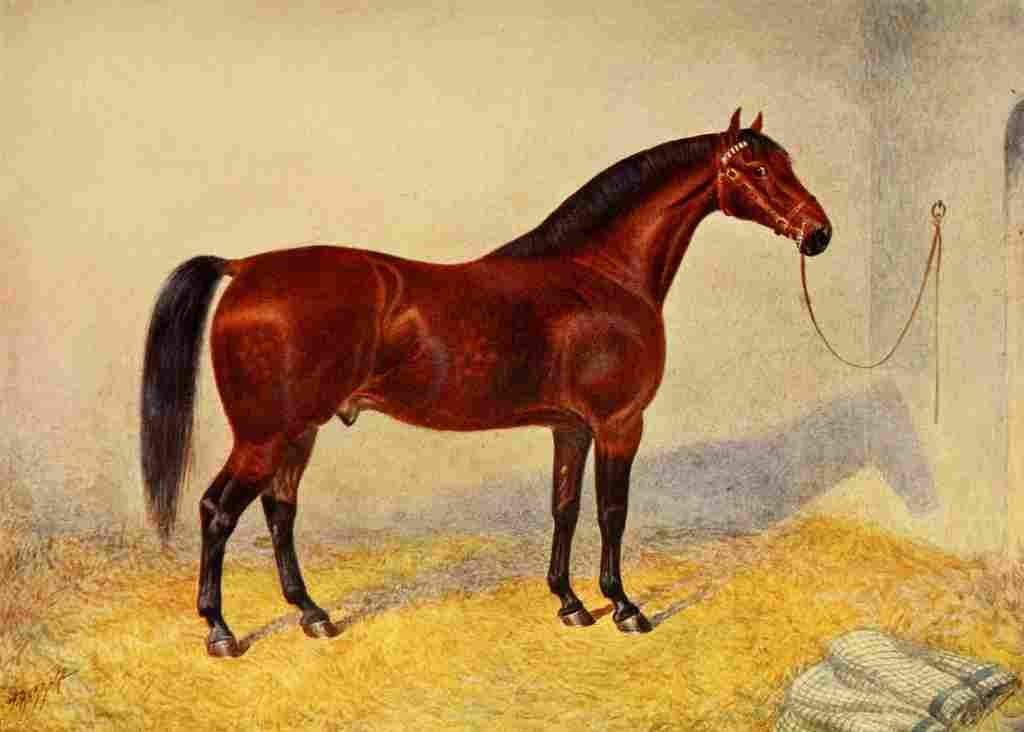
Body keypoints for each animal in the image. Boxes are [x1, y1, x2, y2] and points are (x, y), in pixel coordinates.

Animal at [140, 108, 831, 657]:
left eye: (787, 164)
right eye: (758, 171)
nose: (819, 233)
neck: (600, 273)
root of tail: (245, 267)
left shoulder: (570, 428)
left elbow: (564, 508)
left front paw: (570, 603)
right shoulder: (619, 424)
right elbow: (612, 512)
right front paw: (625, 607)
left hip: (298, 432)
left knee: (279, 512)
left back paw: (313, 614)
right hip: (264, 436)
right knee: (218, 511)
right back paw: (221, 631)